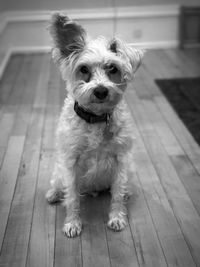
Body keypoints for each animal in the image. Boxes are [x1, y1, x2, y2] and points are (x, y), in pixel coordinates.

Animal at [45, 13, 142, 239]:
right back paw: (53, 193)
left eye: (113, 68)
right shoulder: (71, 162)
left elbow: (116, 195)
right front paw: (72, 223)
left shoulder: (121, 160)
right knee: (58, 182)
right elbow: (72, 198)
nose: (100, 91)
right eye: (83, 69)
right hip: (59, 169)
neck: (97, 119)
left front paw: (117, 217)